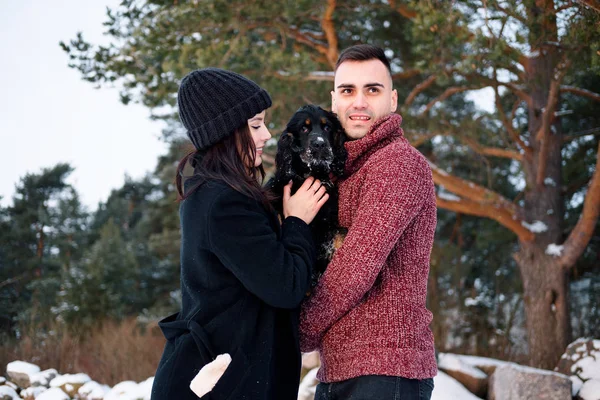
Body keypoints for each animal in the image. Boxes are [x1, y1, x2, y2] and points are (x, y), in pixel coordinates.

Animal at [268, 103, 346, 284]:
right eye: (304, 128)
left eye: (327, 127)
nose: (320, 144)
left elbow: (339, 236)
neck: (310, 175)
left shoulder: (328, 223)